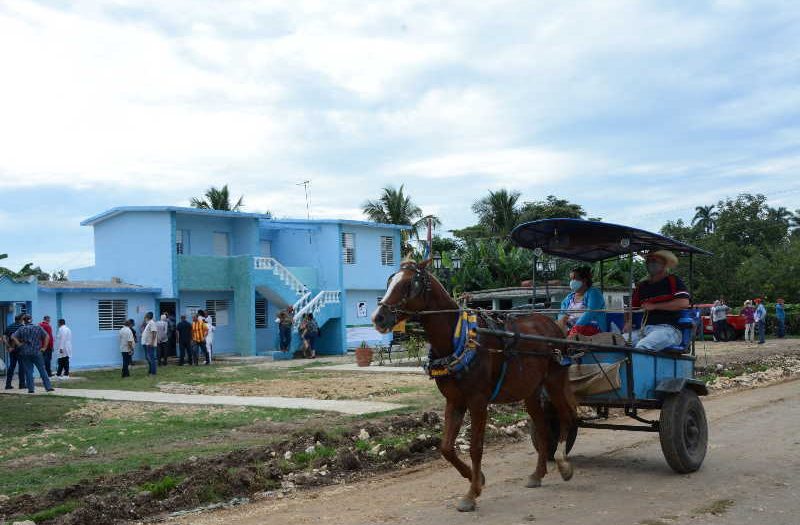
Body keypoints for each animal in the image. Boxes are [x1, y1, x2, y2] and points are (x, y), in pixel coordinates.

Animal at [372, 258, 572, 512]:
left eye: (409, 284)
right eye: (390, 281)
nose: (378, 317)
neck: (458, 340)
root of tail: (553, 323)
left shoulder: (478, 402)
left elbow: (476, 448)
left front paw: (471, 493)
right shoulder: (454, 401)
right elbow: (446, 448)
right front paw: (476, 478)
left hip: (555, 382)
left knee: (566, 416)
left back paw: (564, 464)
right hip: (530, 392)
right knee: (544, 428)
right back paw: (538, 474)